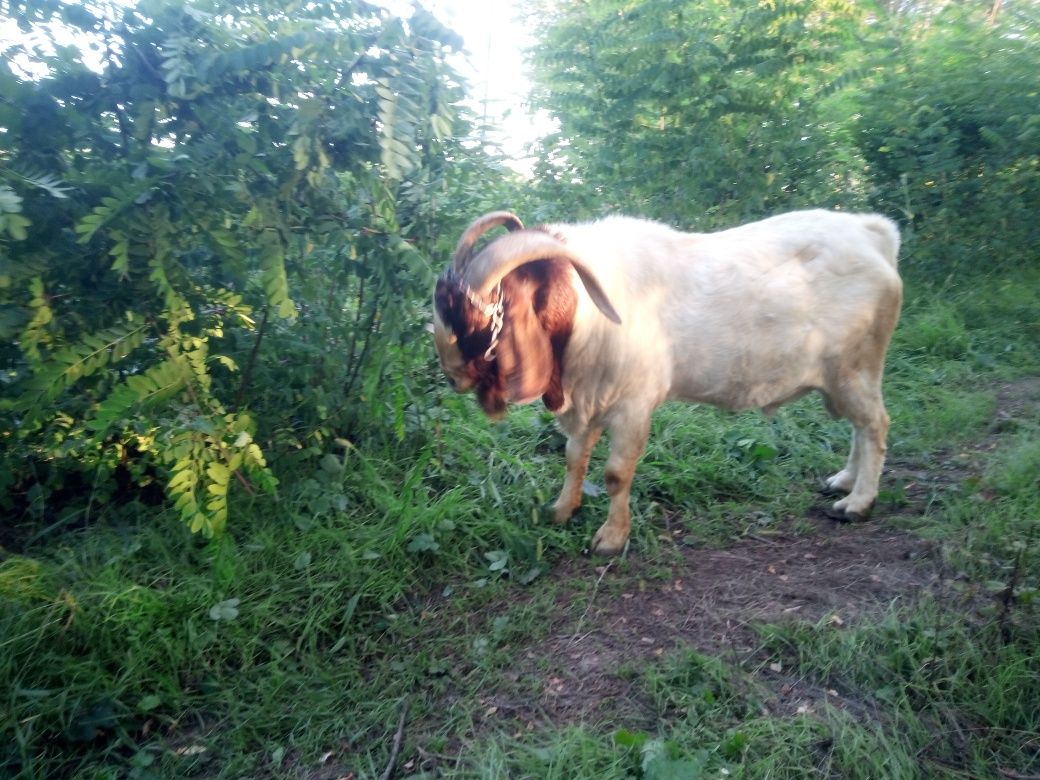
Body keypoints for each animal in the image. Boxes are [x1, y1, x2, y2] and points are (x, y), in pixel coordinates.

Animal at [430, 212, 902, 557]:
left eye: (477, 317)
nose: (452, 376)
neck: (587, 309)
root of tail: (875, 235)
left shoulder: (634, 403)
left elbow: (616, 473)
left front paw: (610, 539)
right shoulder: (590, 399)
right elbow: (574, 458)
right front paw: (562, 509)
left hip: (853, 368)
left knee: (875, 425)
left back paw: (857, 503)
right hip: (849, 375)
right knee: (861, 428)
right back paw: (843, 481)